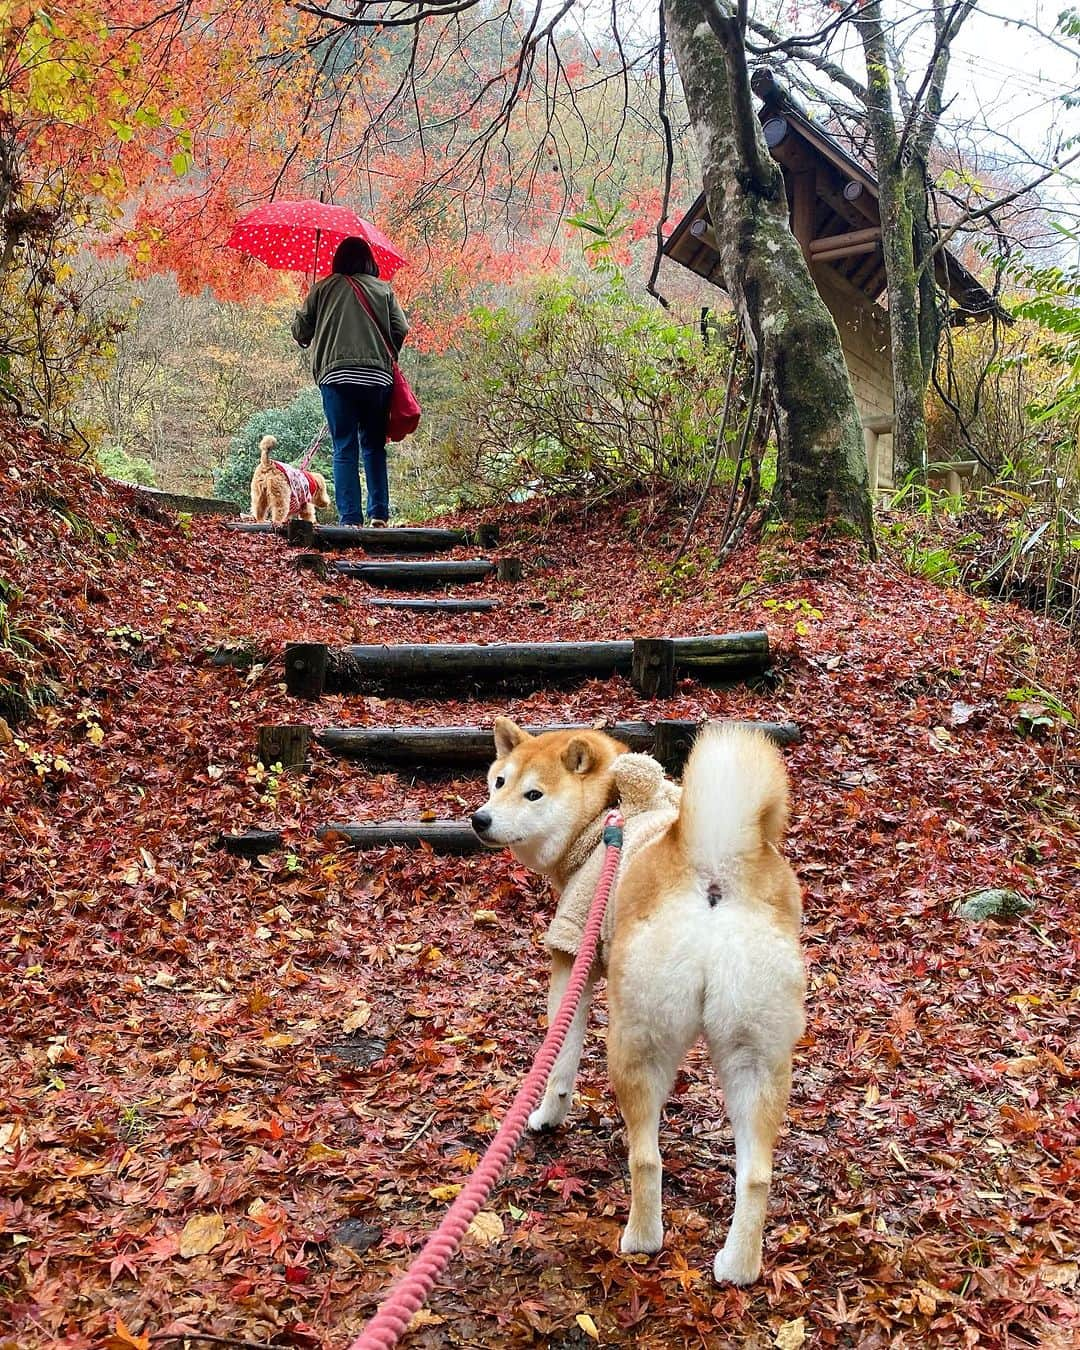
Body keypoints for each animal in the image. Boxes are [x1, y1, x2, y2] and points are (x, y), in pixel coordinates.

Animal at [472, 723, 799, 1279]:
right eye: (498, 782)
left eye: (533, 794)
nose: (481, 818)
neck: (604, 818)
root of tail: (713, 870)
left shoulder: (573, 953)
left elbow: (560, 1062)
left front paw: (546, 1116)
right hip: (755, 1058)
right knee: (756, 1174)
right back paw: (737, 1265)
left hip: (635, 1044)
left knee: (646, 1158)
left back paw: (642, 1239)